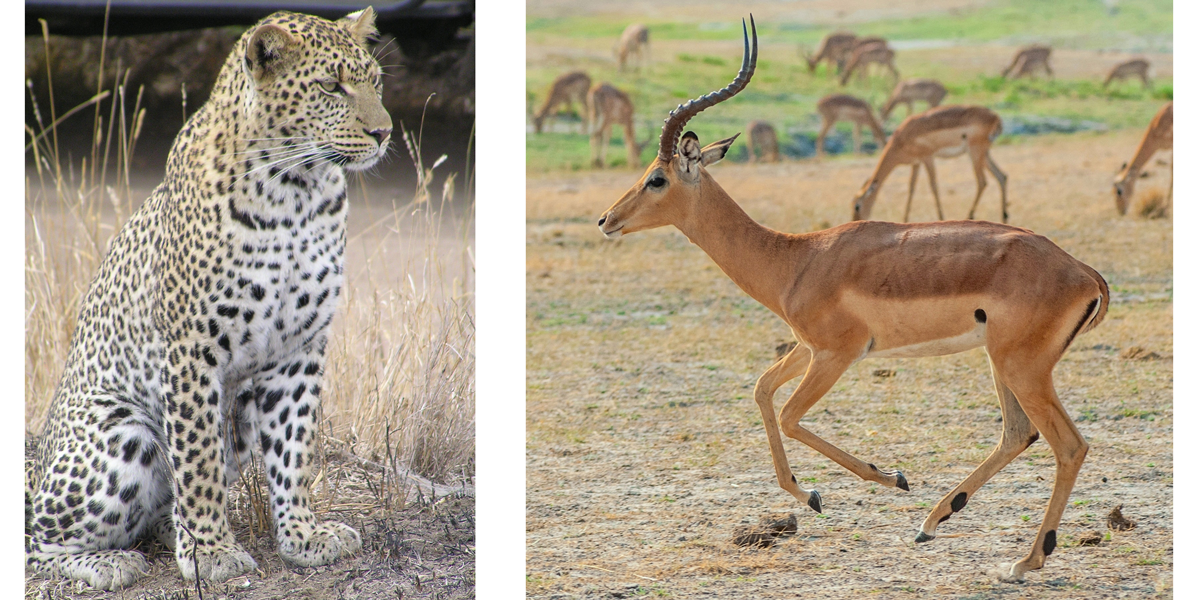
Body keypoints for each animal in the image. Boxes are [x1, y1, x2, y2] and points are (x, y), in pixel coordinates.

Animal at [28, 7, 391, 590]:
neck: (298, 193)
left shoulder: (299, 348)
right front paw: (212, 553)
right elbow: (197, 463)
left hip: (238, 413)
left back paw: (166, 533)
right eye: (331, 87)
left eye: (375, 83)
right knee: (40, 538)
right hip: (122, 435)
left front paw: (303, 536)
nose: (383, 133)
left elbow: (295, 448)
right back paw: (109, 562)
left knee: (156, 513)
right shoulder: (191, 351)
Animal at [849, 104, 1008, 224]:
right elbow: (911, 188)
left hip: (975, 152)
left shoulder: (928, 157)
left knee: (982, 181)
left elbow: (933, 186)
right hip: (984, 154)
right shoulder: (916, 163)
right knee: (1002, 176)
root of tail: (996, 118)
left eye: (857, 206)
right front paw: (905, 220)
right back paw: (1004, 217)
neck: (901, 137)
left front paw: (941, 218)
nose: (855, 221)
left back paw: (969, 217)